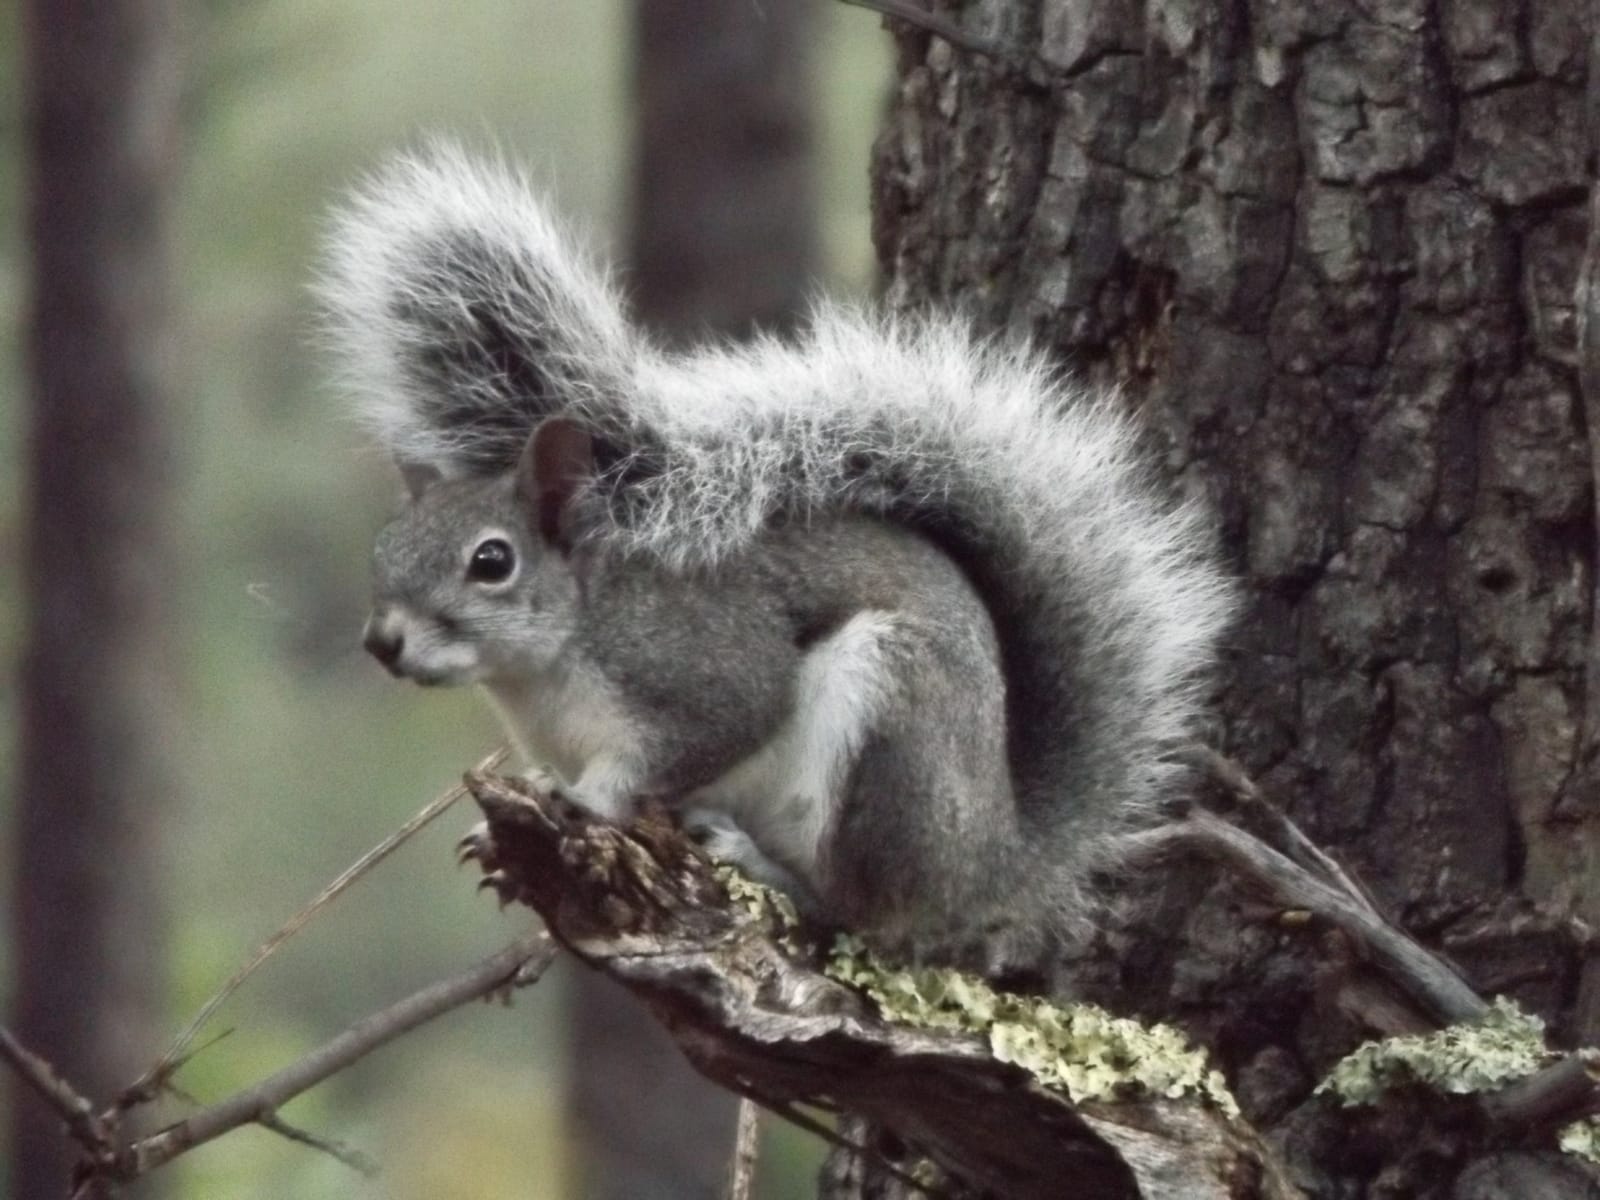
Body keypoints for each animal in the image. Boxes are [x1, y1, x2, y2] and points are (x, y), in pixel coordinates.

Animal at [319, 145, 1233, 968]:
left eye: (492, 562)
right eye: (384, 547)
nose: (381, 642)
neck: (551, 666)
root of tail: (994, 859)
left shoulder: (702, 667)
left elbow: (706, 732)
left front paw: (583, 800)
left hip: (889, 734)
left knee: (863, 912)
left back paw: (765, 864)